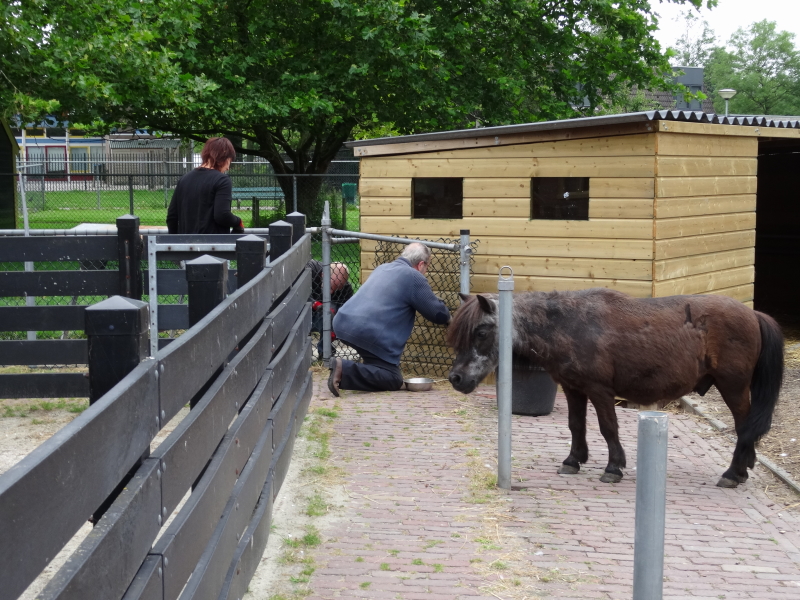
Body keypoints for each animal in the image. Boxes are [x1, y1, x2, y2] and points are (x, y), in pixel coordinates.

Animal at [446, 288, 784, 490]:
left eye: (481, 332)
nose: (456, 379)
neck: (569, 325)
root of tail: (753, 314)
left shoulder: (600, 391)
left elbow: (608, 428)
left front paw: (613, 467)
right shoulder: (573, 388)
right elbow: (575, 425)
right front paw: (573, 460)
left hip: (733, 387)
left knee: (744, 426)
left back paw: (733, 473)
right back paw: (742, 469)